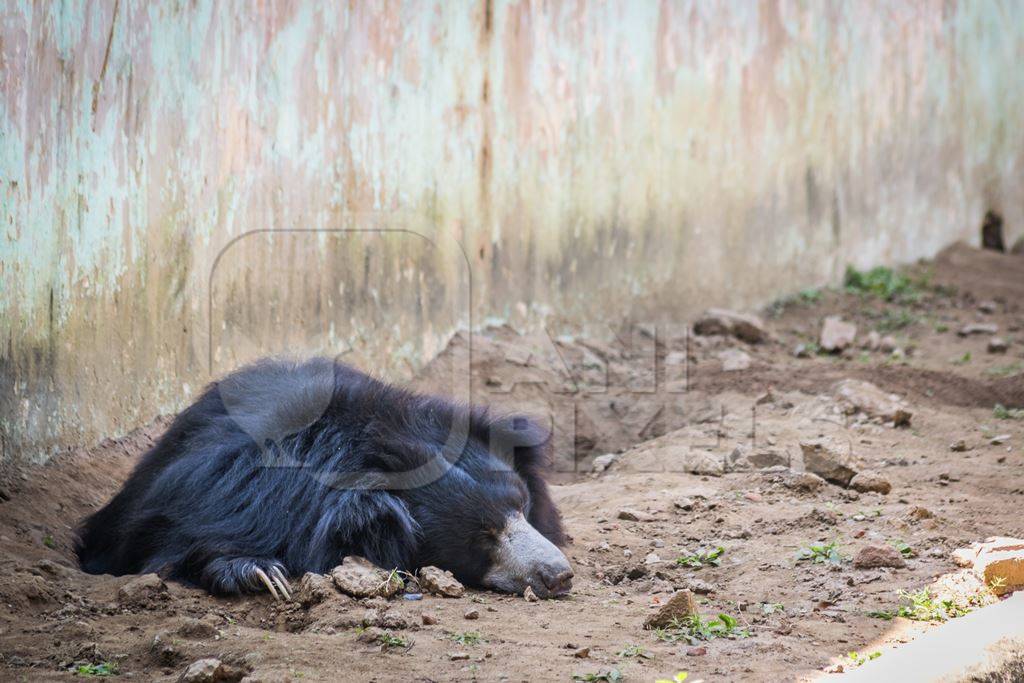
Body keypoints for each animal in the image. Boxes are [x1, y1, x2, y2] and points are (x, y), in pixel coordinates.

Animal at [75, 360, 573, 602]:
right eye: (482, 534)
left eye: (522, 508)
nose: (560, 575)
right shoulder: (222, 491)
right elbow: (170, 546)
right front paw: (262, 573)